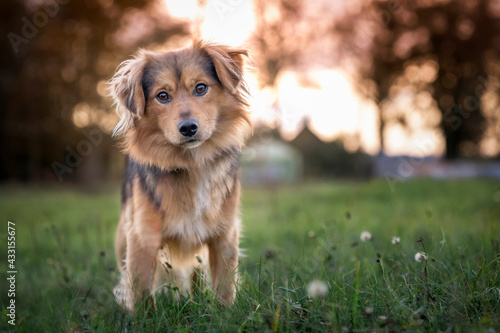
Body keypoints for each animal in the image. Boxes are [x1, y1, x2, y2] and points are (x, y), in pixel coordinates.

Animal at [108, 40, 252, 312]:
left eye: (201, 88)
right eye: (162, 96)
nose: (188, 128)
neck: (191, 163)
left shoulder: (224, 234)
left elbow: (225, 287)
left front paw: (225, 314)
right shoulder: (143, 236)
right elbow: (141, 291)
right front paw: (144, 317)